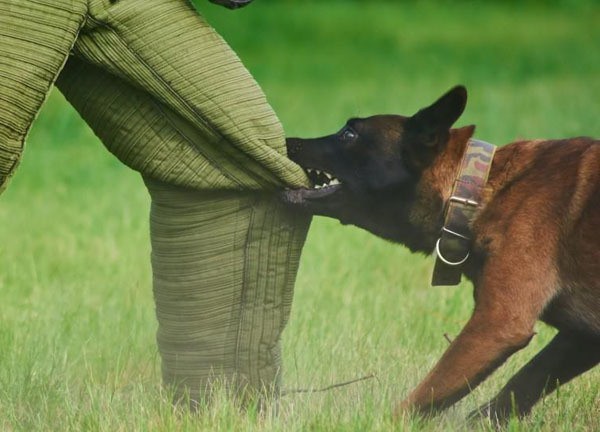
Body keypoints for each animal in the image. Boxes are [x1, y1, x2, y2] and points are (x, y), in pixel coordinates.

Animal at [282, 87, 600, 422]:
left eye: (349, 133)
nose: (287, 141)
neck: (475, 192)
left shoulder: (497, 323)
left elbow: (425, 395)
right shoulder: (582, 338)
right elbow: (521, 384)